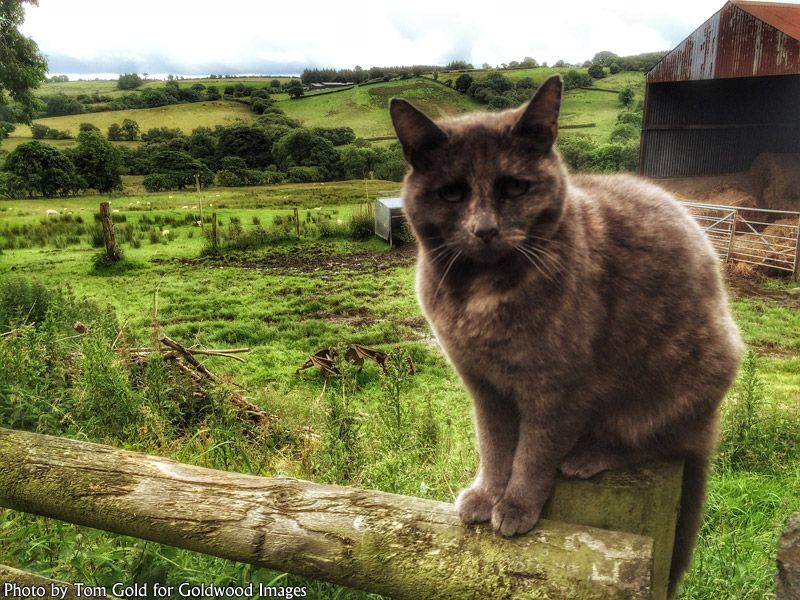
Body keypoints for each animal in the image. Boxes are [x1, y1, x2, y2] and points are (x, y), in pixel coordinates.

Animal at [388, 74, 744, 596]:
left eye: (515, 187)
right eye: (451, 193)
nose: (485, 228)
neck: (483, 296)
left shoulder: (558, 387)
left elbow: (534, 451)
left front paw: (516, 507)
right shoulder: (483, 386)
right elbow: (494, 445)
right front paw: (486, 496)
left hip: (685, 378)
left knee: (657, 440)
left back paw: (587, 456)